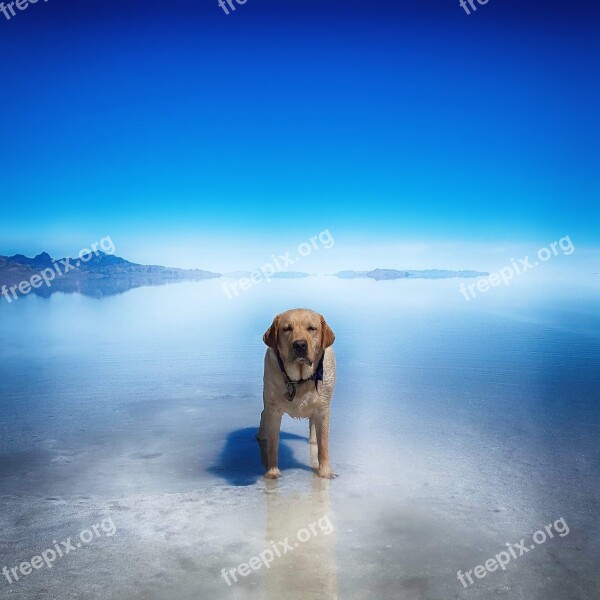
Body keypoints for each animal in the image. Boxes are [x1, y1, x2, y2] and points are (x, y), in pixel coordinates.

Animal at [255, 310, 336, 478]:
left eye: (312, 328)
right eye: (287, 329)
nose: (300, 344)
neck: (300, 380)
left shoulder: (323, 409)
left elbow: (324, 445)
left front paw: (325, 472)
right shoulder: (274, 410)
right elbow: (273, 445)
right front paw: (272, 472)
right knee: (263, 414)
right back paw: (261, 436)